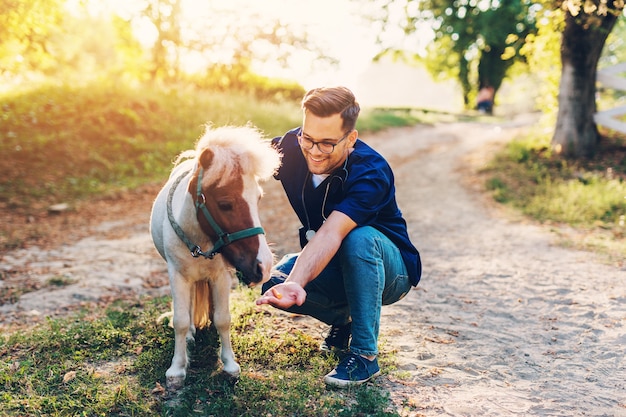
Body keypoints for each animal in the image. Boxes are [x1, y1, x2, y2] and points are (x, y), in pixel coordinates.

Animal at [149, 124, 280, 390]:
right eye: (225, 203)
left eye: (258, 198)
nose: (263, 266)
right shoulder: (177, 276)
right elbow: (179, 321)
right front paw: (177, 369)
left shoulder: (220, 277)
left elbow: (222, 319)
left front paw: (229, 365)